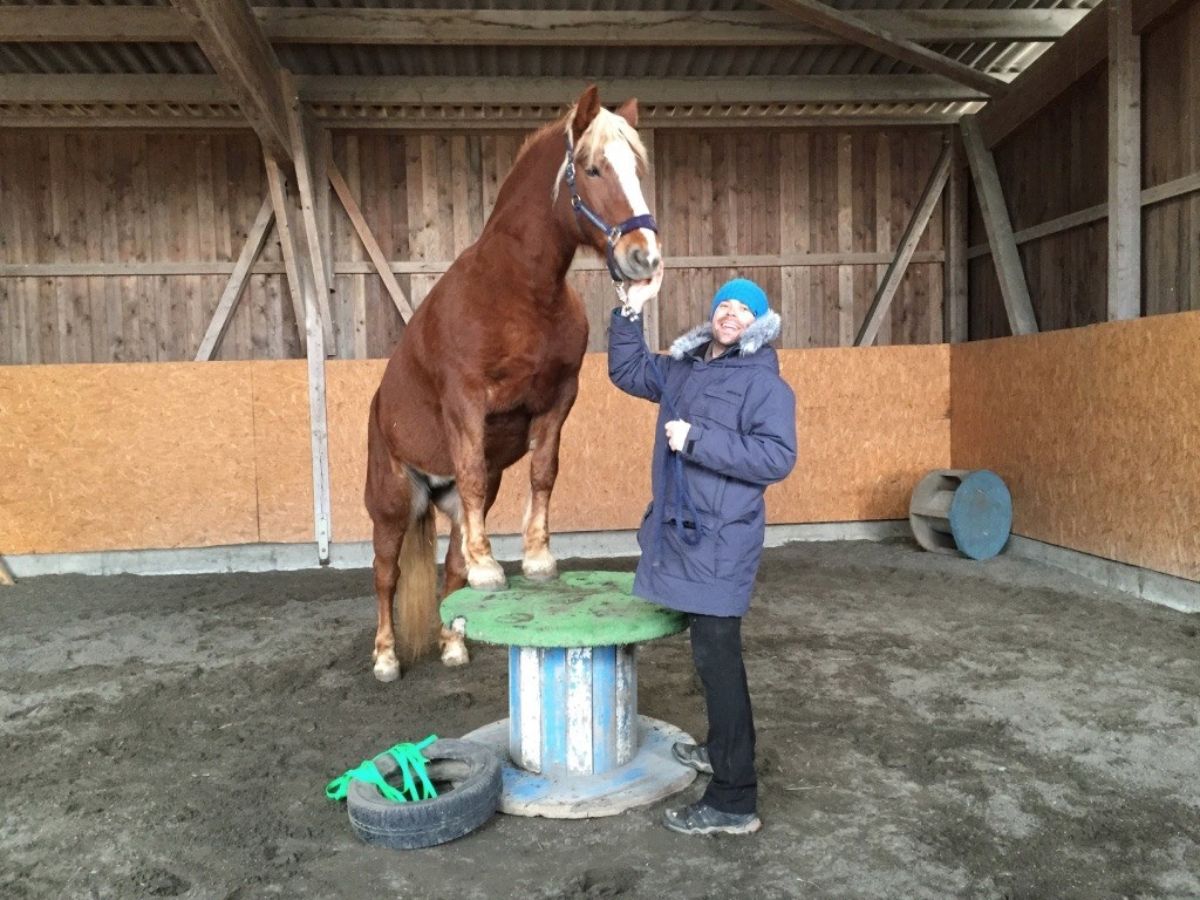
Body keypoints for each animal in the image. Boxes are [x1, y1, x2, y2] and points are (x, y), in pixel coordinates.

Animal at [364, 88, 667, 681]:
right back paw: (386, 656)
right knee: (385, 574)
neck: (519, 291)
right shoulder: (466, 403)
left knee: (450, 566)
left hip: (455, 497)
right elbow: (474, 475)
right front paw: (492, 568)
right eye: (593, 169)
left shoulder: (559, 399)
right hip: (391, 501)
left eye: (637, 168)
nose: (644, 256)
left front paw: (537, 559)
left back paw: (452, 644)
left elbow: (544, 473)